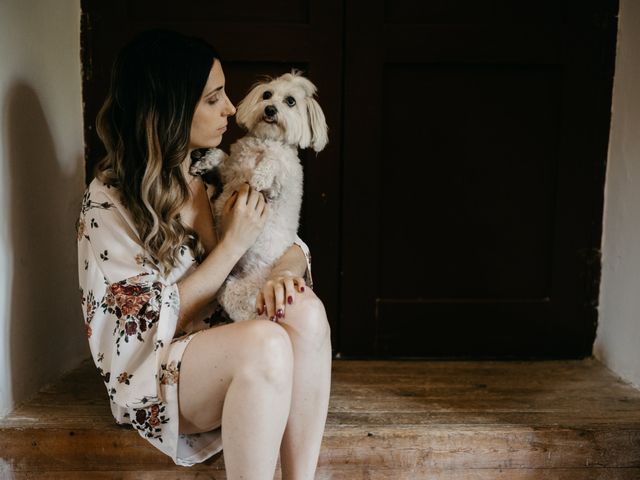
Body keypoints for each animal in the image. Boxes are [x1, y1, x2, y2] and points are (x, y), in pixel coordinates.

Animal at [192, 68, 328, 322]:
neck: (264, 141)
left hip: (237, 291)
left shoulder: (282, 184)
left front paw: (259, 177)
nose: (270, 109)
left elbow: (275, 162)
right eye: (267, 95)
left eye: (290, 101)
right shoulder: (230, 171)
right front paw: (204, 163)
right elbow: (222, 159)